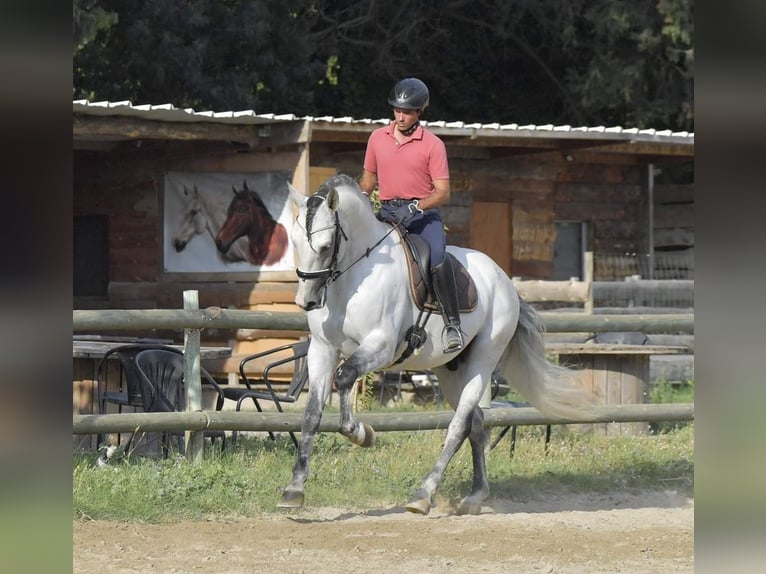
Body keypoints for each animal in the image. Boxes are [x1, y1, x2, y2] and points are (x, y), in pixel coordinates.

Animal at [284, 176, 596, 516]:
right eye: (295, 243)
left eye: (325, 247)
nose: (306, 301)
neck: (353, 279)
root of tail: (504, 279)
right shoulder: (322, 349)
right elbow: (312, 413)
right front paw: (295, 488)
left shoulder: (380, 347)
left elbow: (343, 377)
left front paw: (362, 434)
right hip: (450, 371)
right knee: (477, 423)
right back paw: (475, 496)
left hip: (482, 361)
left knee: (459, 426)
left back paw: (424, 493)